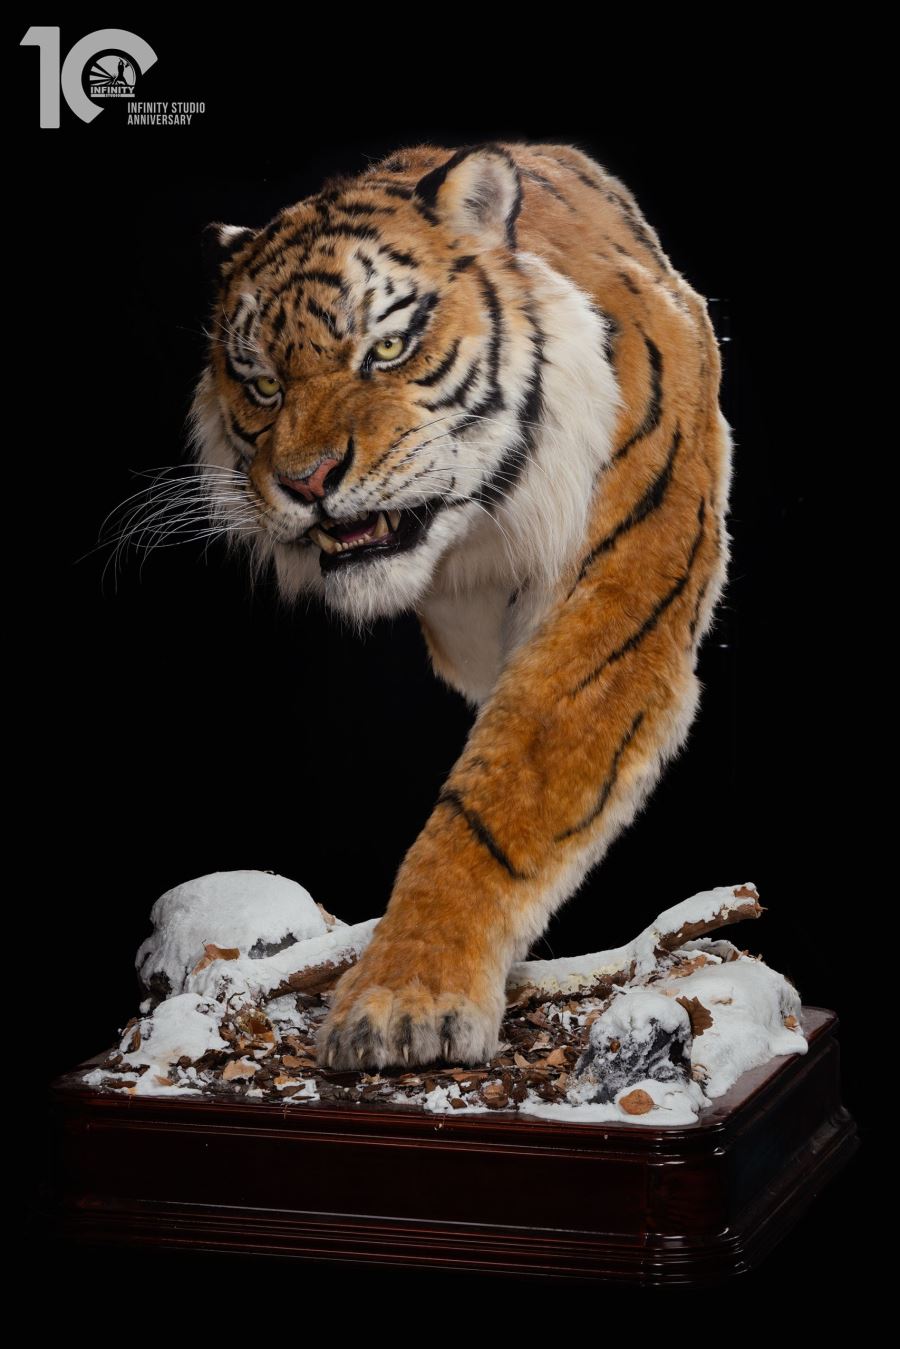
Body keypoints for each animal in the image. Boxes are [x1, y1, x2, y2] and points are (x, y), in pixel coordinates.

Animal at [188, 140, 733, 1072]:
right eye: (260, 384)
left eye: (388, 346)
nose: (306, 481)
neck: (469, 537)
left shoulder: (614, 614)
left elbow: (492, 807)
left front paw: (405, 1000)